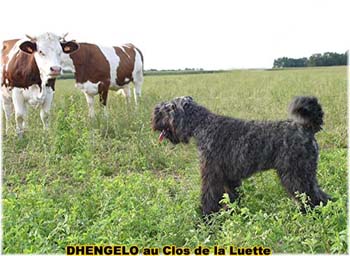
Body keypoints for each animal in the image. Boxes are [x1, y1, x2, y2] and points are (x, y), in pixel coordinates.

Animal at [151, 96, 330, 216]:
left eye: (169, 108)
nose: (154, 117)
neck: (203, 125)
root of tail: (307, 127)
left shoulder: (211, 174)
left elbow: (209, 197)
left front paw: (205, 217)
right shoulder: (228, 178)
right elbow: (231, 197)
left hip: (296, 175)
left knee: (311, 197)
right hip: (306, 175)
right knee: (321, 196)